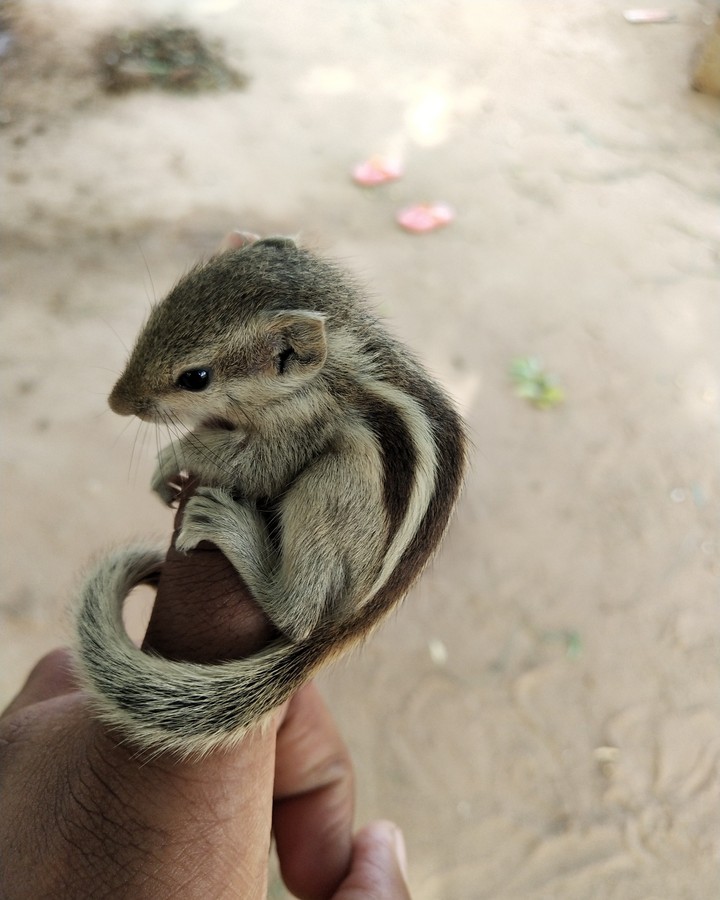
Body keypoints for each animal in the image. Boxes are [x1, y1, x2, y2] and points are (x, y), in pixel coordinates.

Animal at [74, 233, 467, 756]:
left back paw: (231, 529)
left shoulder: (299, 426)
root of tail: (352, 619)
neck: (327, 365)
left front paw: (173, 456)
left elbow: (257, 468)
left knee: (297, 615)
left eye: (195, 378)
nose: (116, 402)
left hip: (332, 488)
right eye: (156, 314)